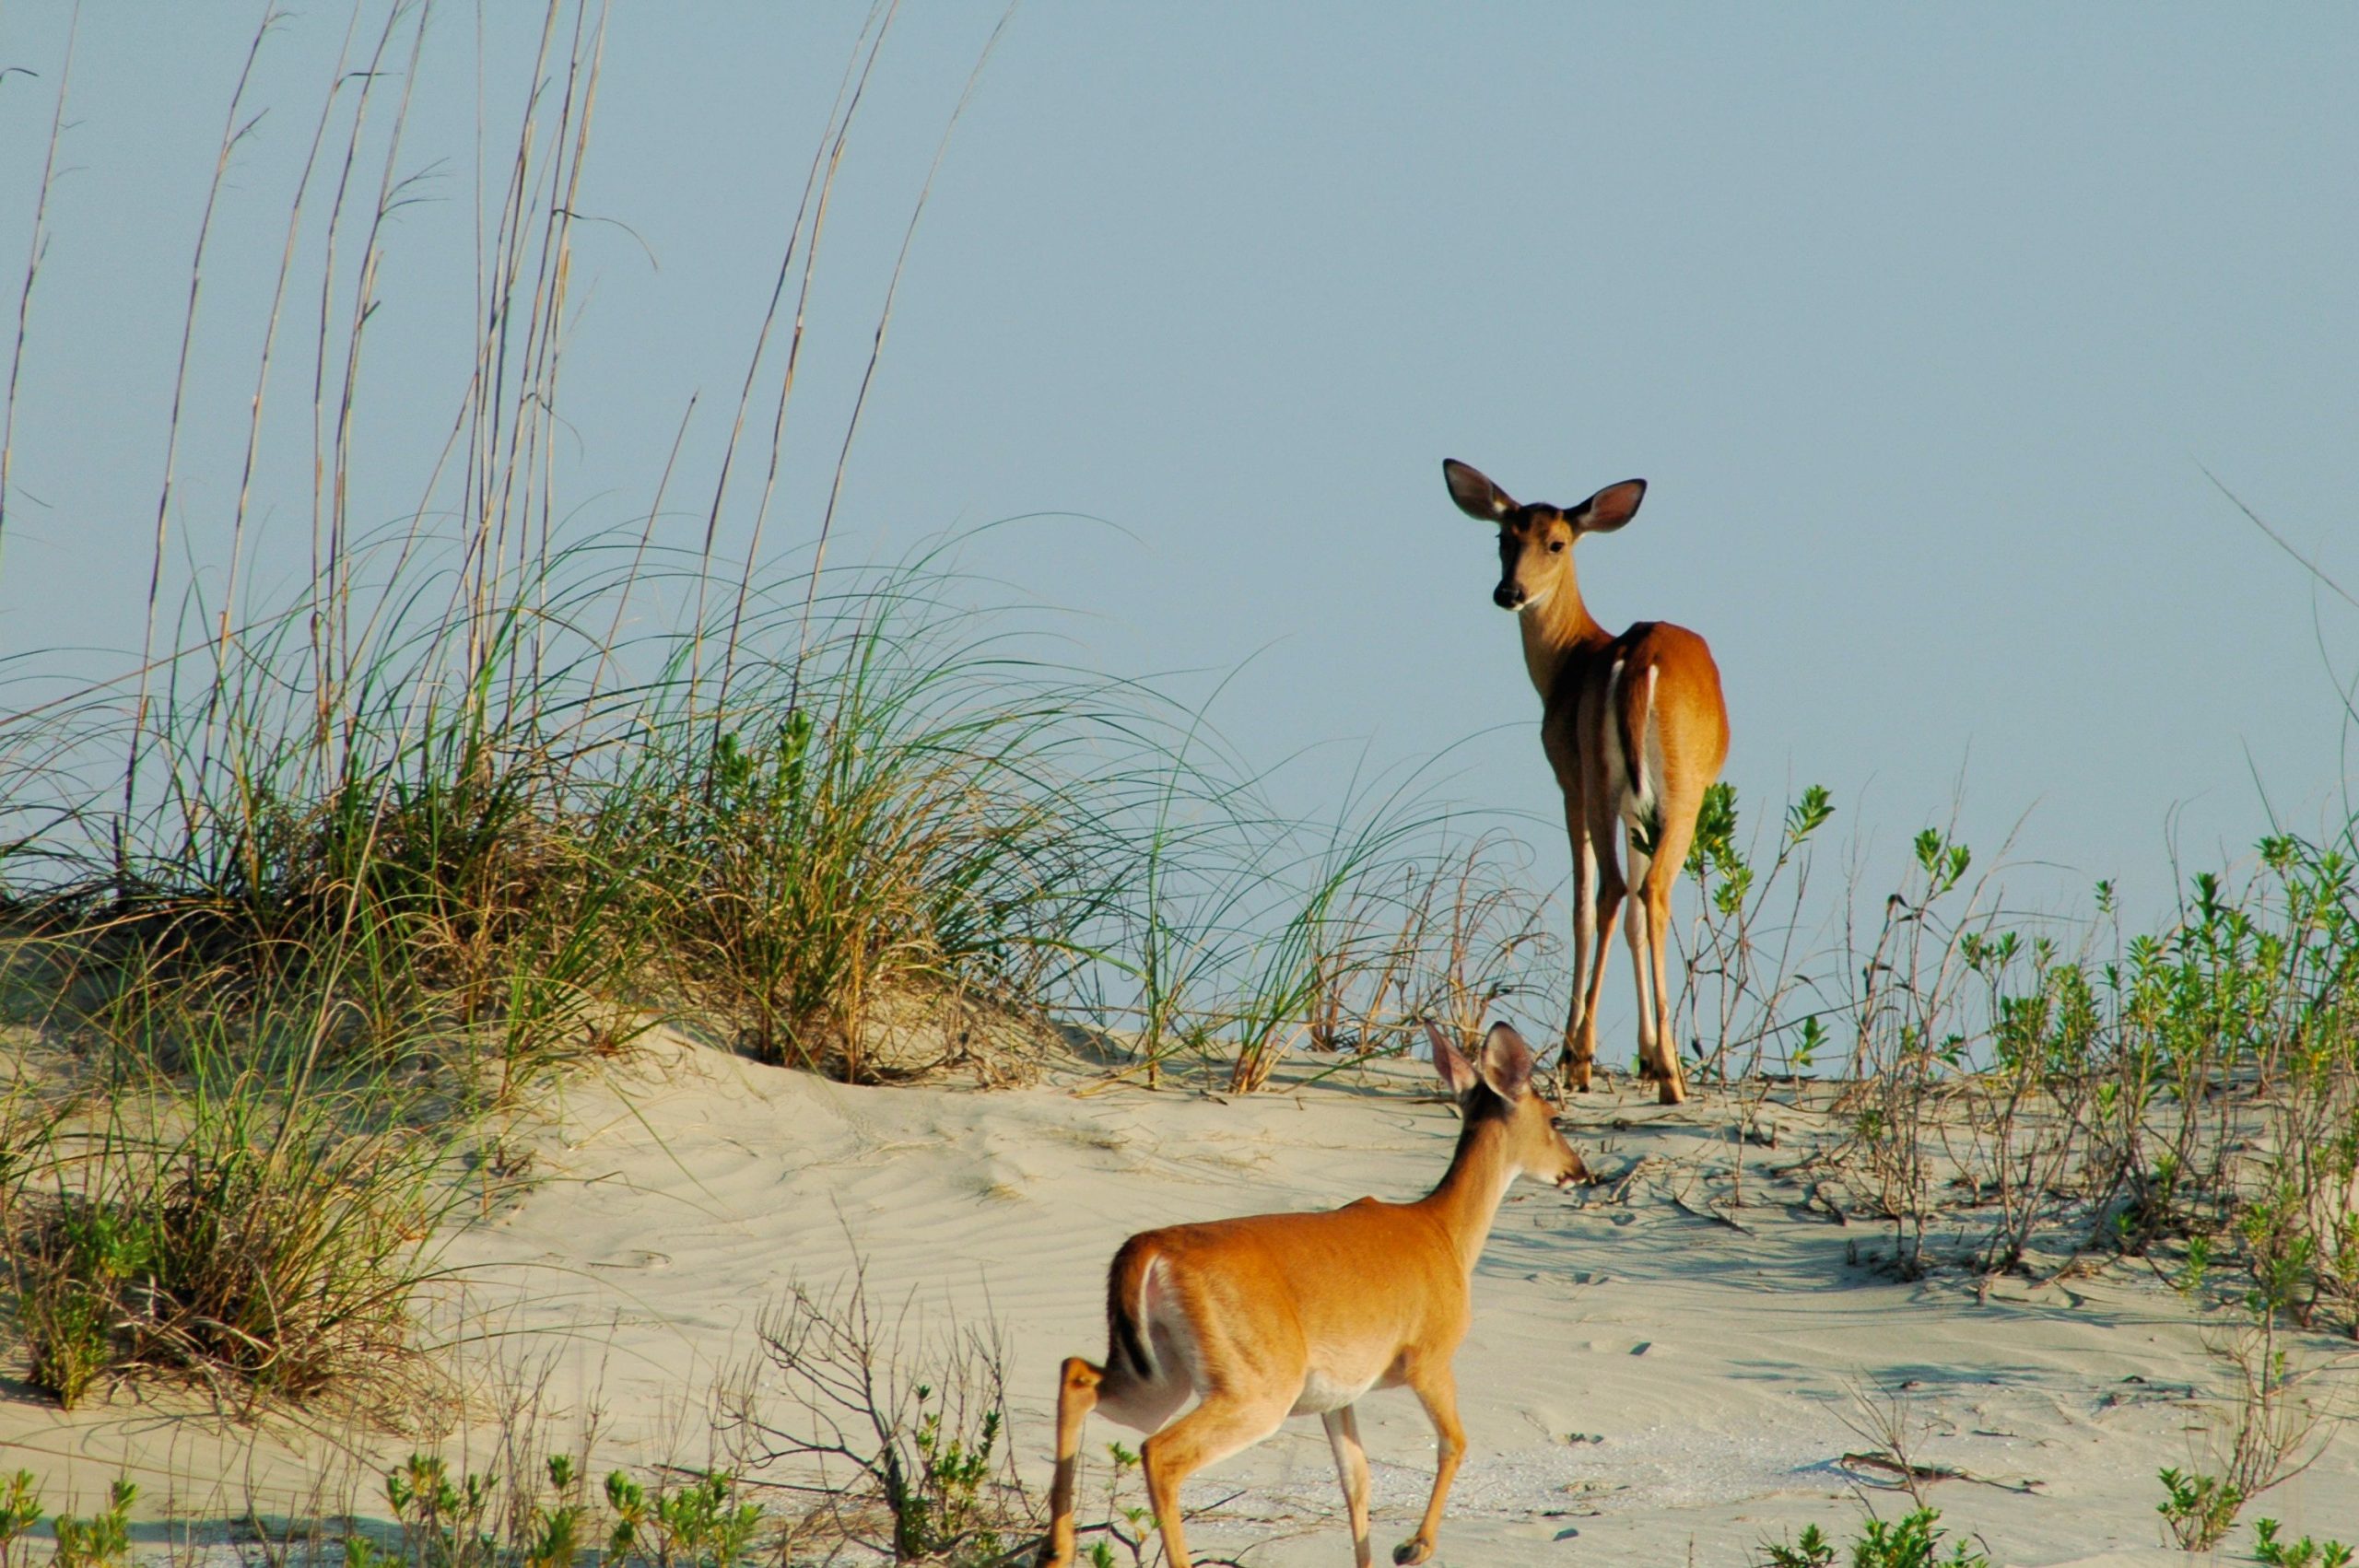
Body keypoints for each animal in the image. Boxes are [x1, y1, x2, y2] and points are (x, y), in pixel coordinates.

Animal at [1038, 1021, 1585, 1568]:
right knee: (1160, 1453)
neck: (1443, 1232)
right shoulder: (1429, 1357)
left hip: (1163, 1373)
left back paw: (1057, 1548)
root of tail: (1149, 1246)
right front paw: (1415, 1545)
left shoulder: (1337, 1396)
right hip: (1256, 1385)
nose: (1579, 1170)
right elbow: (1455, 1442)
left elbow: (1357, 1482)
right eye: (1554, 1117)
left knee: (1078, 1375)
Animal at [1441, 460, 1730, 1107]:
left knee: (1621, 894)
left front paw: (1629, 1053)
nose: (1509, 592)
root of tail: (1638, 657)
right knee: (1639, 894)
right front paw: (1643, 1055)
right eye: (1502, 537)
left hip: (1622, 785)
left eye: (1556, 542)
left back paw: (1607, 1062)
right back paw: (1644, 1069)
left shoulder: (1580, 783)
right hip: (1664, 790)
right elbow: (1613, 908)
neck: (1570, 664)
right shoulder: (1599, 791)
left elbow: (1590, 904)